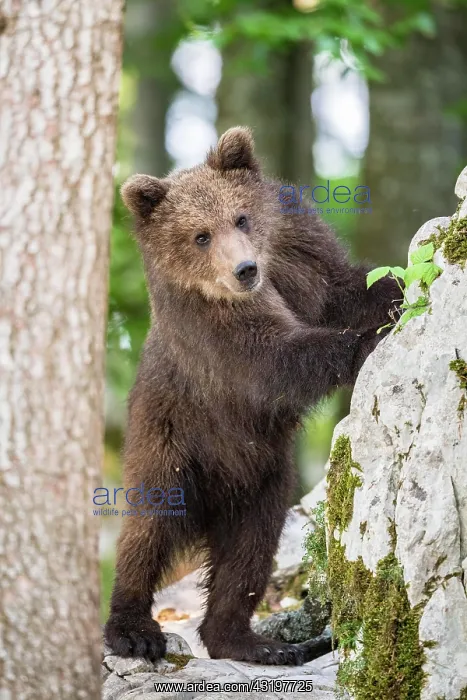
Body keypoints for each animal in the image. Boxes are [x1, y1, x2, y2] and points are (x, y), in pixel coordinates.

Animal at [104, 127, 400, 666]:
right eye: (200, 235)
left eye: (240, 217)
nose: (244, 269)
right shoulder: (211, 333)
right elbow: (273, 362)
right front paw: (365, 340)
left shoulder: (299, 255)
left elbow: (348, 289)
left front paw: (398, 288)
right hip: (169, 443)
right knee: (148, 527)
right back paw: (133, 629)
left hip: (266, 476)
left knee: (251, 547)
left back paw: (254, 642)